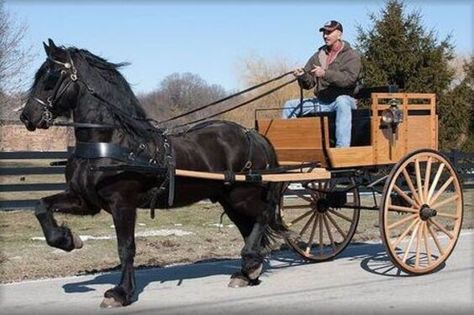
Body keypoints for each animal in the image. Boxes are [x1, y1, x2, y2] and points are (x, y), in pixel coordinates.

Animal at [20, 39, 286, 308]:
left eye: (51, 77)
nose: (26, 116)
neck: (109, 142)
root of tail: (251, 134)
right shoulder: (85, 200)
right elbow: (41, 206)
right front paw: (67, 239)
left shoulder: (122, 203)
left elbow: (126, 247)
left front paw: (121, 293)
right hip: (229, 200)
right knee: (249, 226)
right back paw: (247, 272)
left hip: (243, 196)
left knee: (263, 215)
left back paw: (250, 264)